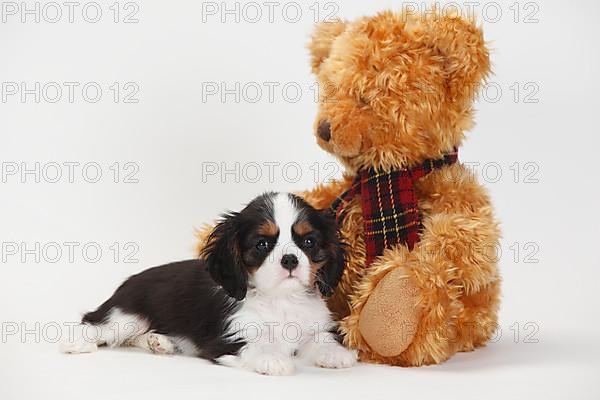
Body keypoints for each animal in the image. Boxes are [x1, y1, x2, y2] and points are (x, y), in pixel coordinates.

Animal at [59, 193, 356, 376]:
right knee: (96, 322)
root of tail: (128, 282)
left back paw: (160, 342)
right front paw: (273, 359)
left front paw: (336, 353)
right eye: (262, 244)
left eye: (308, 242)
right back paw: (77, 343)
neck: (280, 298)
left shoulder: (311, 326)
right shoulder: (227, 339)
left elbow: (320, 339)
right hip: (126, 317)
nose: (290, 260)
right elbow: (258, 345)